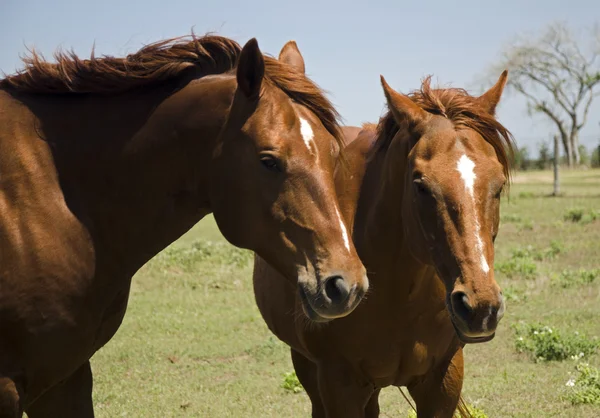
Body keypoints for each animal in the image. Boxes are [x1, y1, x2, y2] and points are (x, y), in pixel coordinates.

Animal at [253, 70, 516, 416]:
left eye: (497, 185)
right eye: (420, 185)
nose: (480, 307)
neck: (400, 296)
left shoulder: (443, 381)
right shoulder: (339, 385)